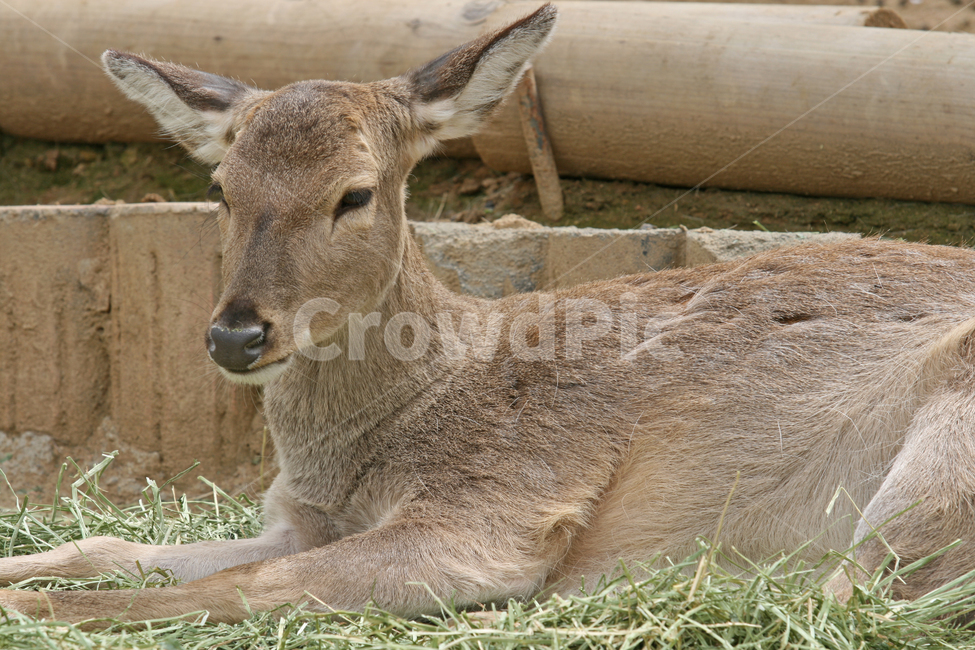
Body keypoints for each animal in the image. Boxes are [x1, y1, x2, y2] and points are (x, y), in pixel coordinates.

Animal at [2, 2, 975, 626]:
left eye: (354, 194)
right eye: (219, 188)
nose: (236, 334)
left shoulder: (495, 507)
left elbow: (243, 590)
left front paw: (24, 604)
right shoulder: (295, 516)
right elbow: (109, 548)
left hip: (944, 447)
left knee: (851, 596)